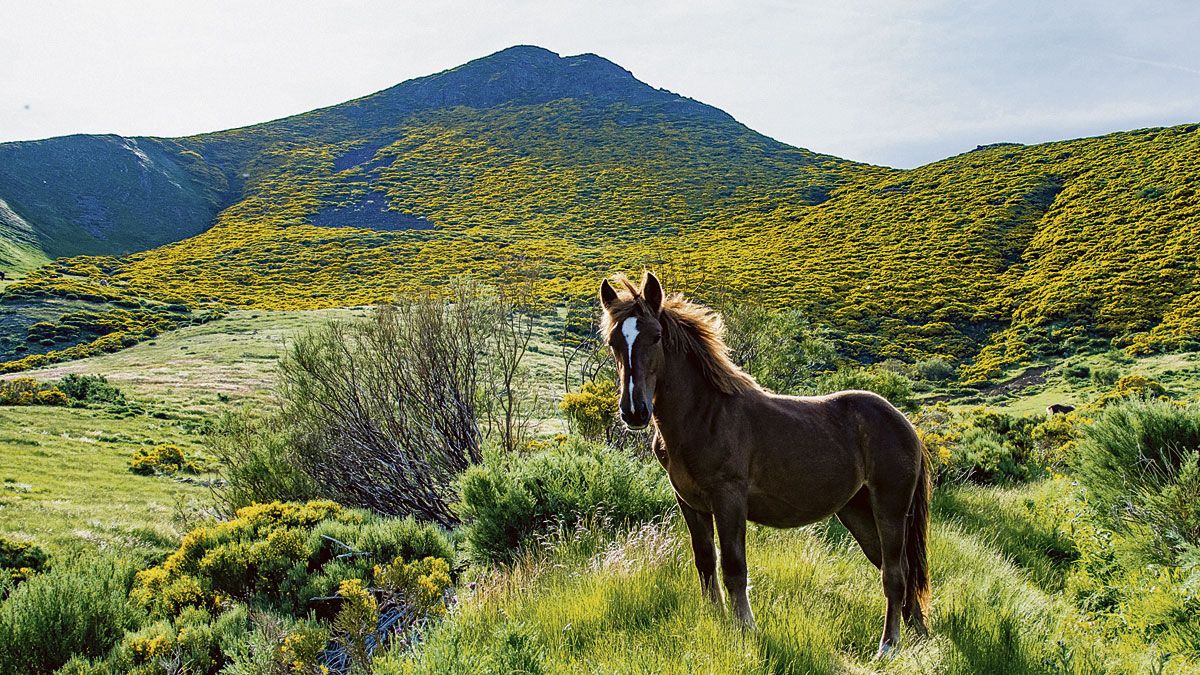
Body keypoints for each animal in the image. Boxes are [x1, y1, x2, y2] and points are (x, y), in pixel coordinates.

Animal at [597, 270, 926, 653]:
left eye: (656, 336)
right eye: (613, 341)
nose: (634, 411)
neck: (704, 416)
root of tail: (904, 424)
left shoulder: (729, 500)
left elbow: (734, 568)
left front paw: (746, 628)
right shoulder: (690, 503)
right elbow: (705, 562)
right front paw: (716, 620)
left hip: (890, 508)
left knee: (895, 574)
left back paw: (888, 645)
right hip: (857, 511)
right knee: (900, 570)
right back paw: (919, 634)